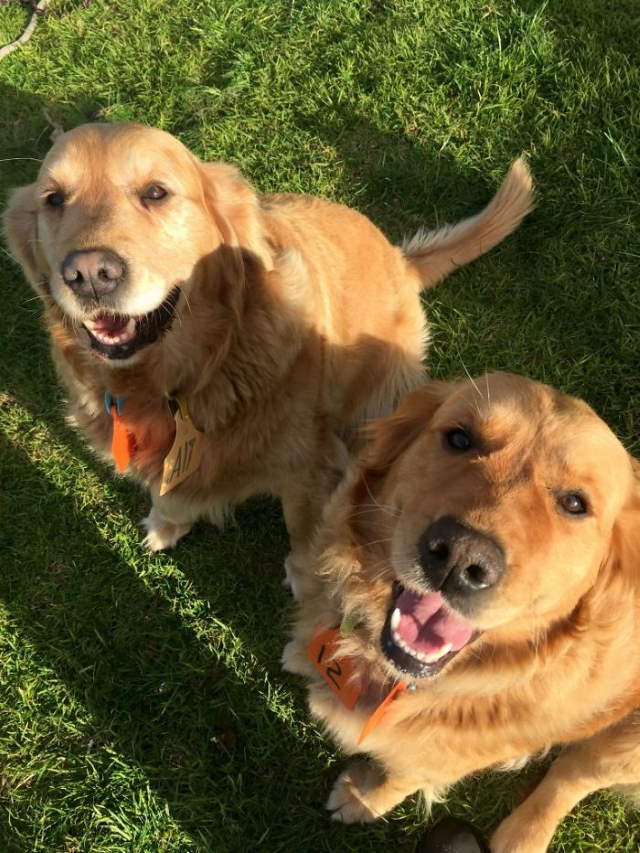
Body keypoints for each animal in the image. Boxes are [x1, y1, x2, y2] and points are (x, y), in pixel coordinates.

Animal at [5, 123, 532, 584]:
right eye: (53, 200)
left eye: (155, 193)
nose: (89, 275)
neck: (193, 376)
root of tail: (403, 263)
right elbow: (170, 492)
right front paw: (166, 523)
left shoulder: (308, 470)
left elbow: (304, 534)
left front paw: (305, 580)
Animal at [284, 374, 640, 852]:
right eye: (459, 438)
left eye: (574, 503)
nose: (460, 557)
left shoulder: (436, 758)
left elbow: (404, 777)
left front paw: (364, 798)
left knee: (574, 773)